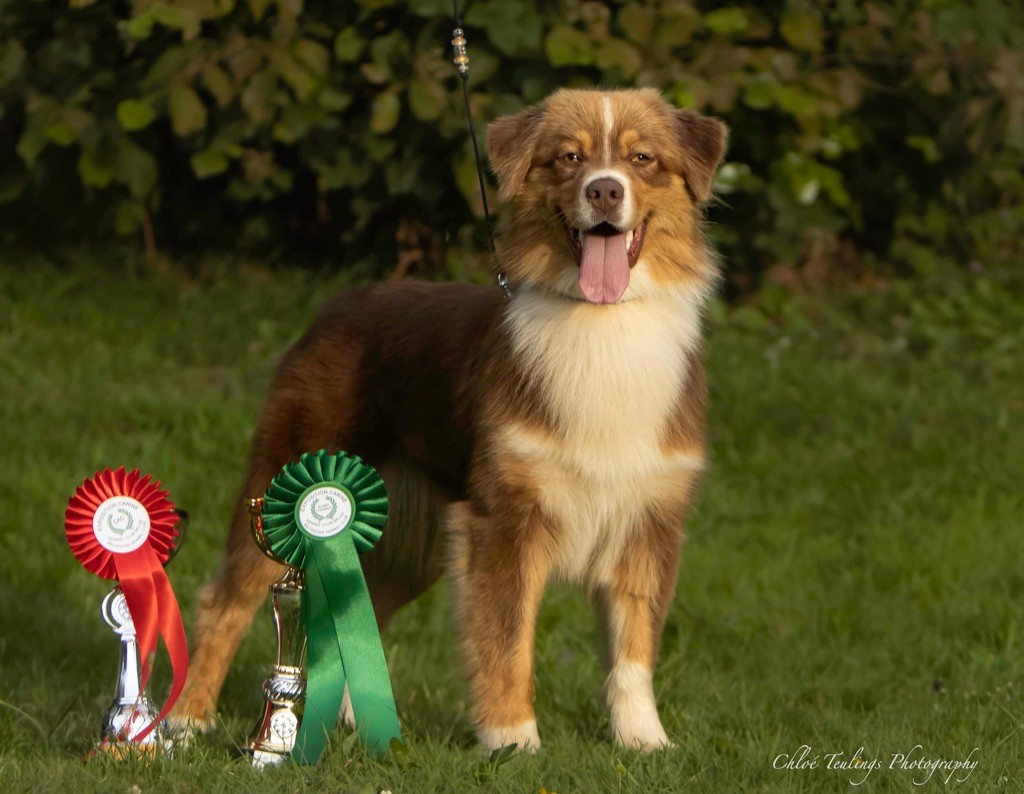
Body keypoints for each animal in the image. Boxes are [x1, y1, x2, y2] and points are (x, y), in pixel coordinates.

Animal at [169, 87, 729, 749]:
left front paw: (645, 742)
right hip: (285, 490)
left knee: (361, 609)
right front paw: (514, 740)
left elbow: (635, 649)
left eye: (643, 159)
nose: (604, 191)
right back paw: (184, 721)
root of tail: (339, 303)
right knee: (225, 602)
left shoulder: (650, 520)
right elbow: (507, 639)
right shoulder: (503, 517)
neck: (602, 323)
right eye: (569, 157)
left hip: (405, 536)